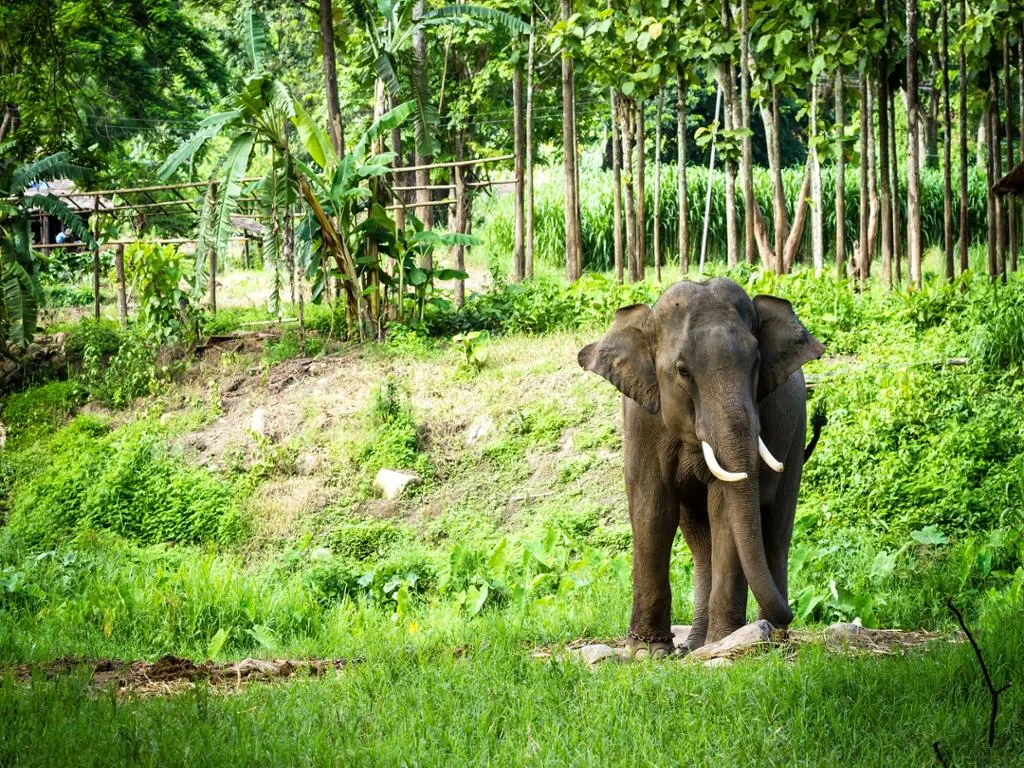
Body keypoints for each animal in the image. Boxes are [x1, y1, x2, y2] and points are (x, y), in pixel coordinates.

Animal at [578, 277, 825, 657]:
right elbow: (653, 510)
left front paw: (723, 642)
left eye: (756, 362)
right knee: (699, 539)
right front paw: (649, 652)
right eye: (682, 371)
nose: (793, 612)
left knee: (775, 529)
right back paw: (697, 643)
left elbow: (725, 509)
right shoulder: (641, 418)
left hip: (797, 429)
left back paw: (769, 637)